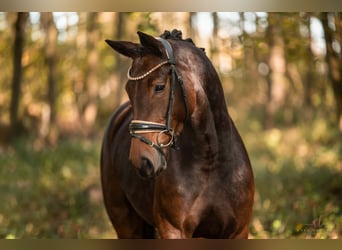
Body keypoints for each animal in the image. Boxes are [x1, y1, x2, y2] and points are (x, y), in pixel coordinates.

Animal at [99, 28, 254, 238]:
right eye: (128, 90)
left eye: (159, 86)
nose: (141, 161)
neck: (211, 160)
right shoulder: (172, 229)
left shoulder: (238, 231)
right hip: (124, 221)